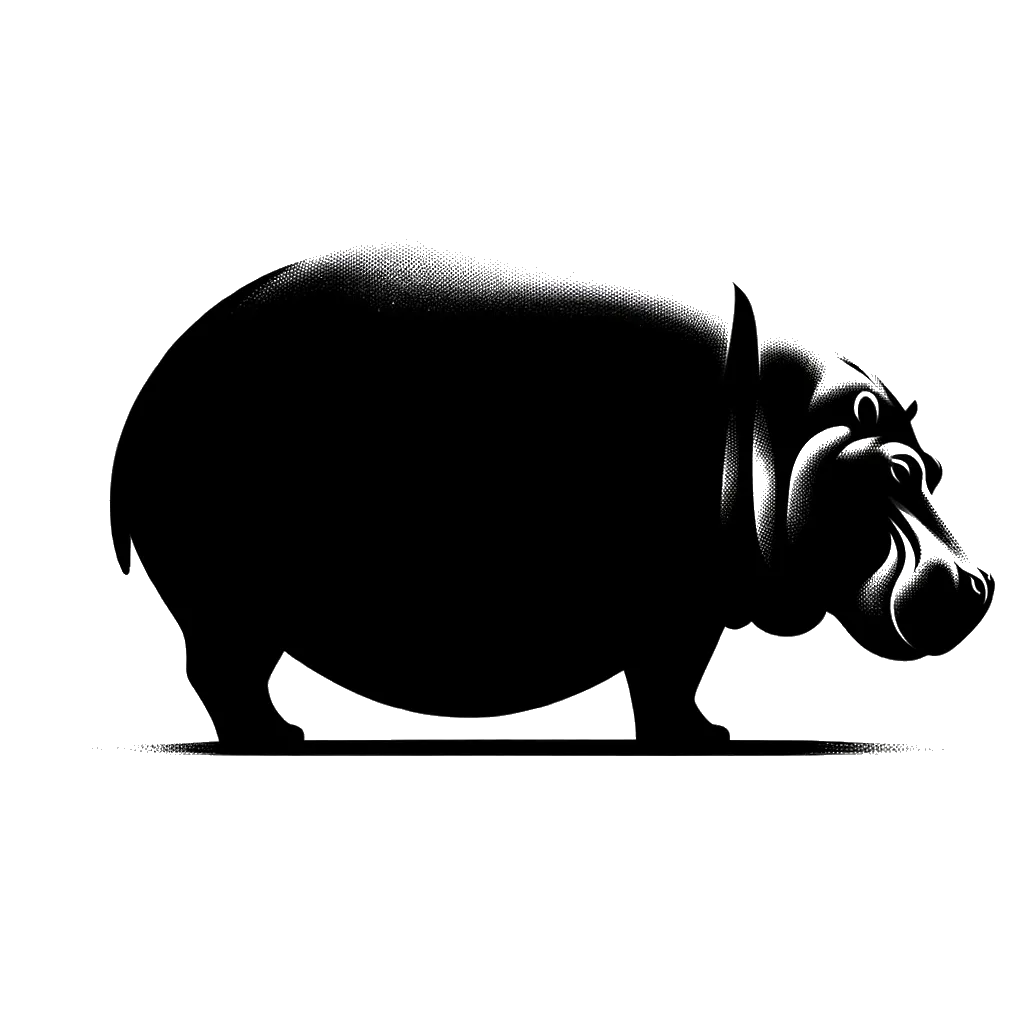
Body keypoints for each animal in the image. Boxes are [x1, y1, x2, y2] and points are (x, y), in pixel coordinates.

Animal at [105, 242, 995, 752]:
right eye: (886, 473)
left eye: (934, 466)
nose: (976, 579)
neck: (782, 436)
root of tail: (157, 379)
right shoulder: (675, 610)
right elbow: (669, 684)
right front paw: (713, 736)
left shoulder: (688, 610)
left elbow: (676, 682)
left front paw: (710, 730)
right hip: (227, 598)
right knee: (224, 675)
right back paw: (286, 737)